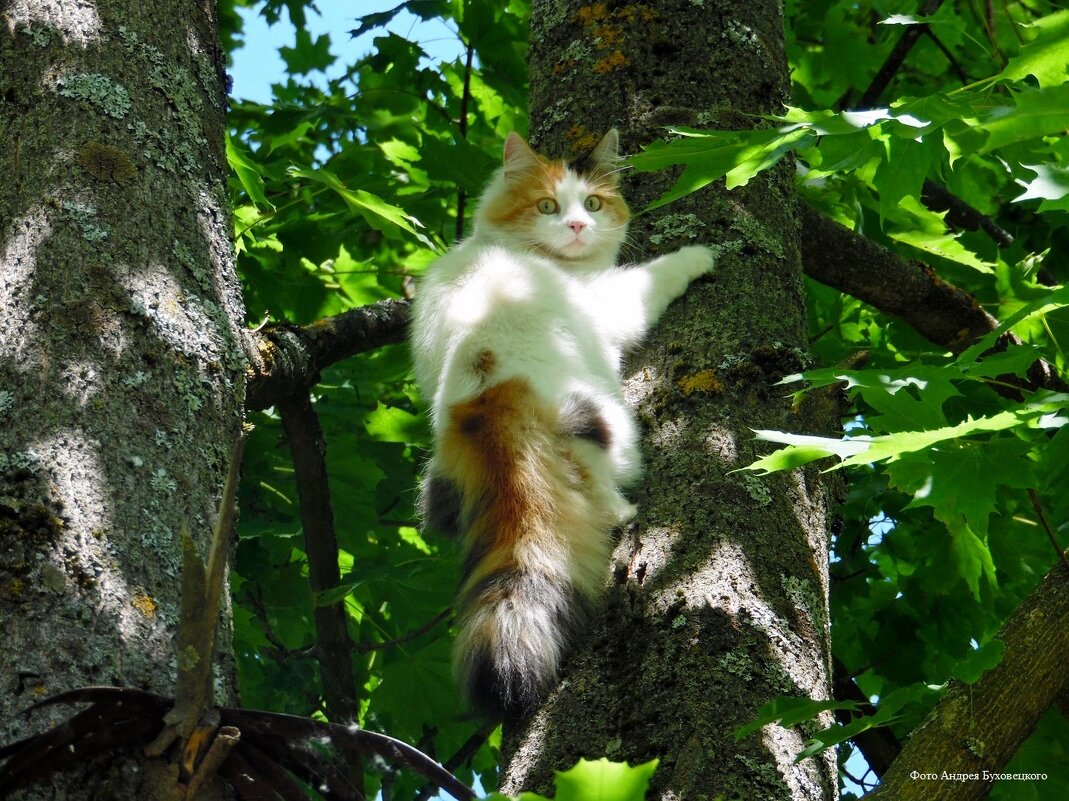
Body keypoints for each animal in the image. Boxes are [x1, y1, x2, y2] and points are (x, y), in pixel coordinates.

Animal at [410, 128, 718, 714]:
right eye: (548, 206)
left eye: (592, 204)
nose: (577, 226)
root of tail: (487, 401)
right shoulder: (611, 302)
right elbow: (651, 276)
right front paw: (700, 254)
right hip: (599, 414)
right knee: (598, 479)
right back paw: (625, 511)